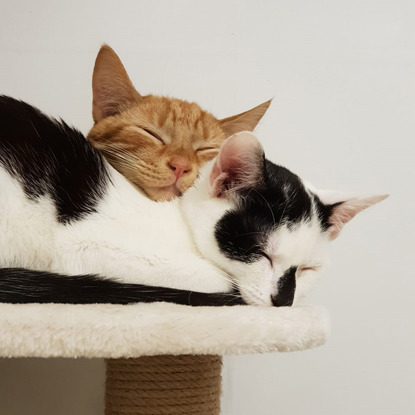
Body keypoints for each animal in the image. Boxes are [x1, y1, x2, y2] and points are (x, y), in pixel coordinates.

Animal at [0, 96, 386, 306]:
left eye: (308, 270)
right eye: (262, 254)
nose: (283, 301)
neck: (179, 221)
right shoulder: (83, 246)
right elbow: (218, 280)